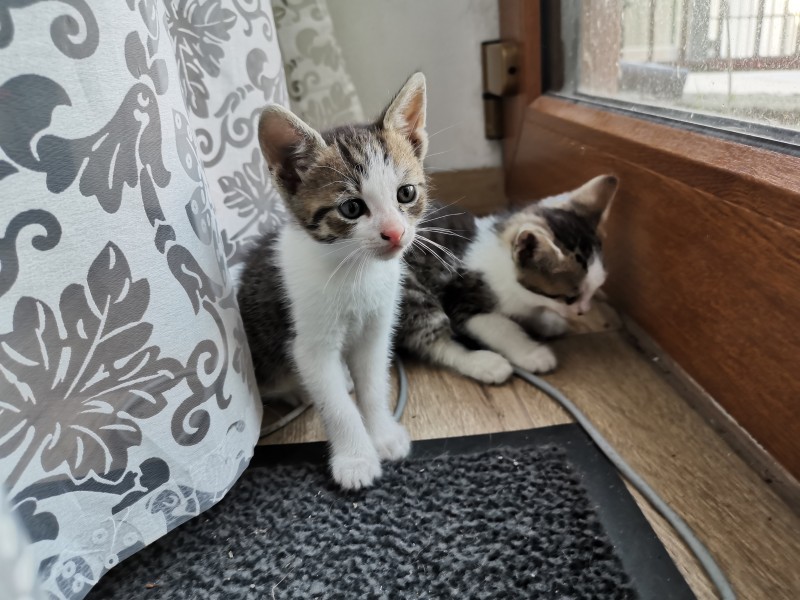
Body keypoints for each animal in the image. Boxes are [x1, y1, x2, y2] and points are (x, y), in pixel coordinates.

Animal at [237, 73, 429, 490]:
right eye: (352, 208)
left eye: (406, 193)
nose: (395, 233)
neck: (356, 272)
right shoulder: (311, 345)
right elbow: (337, 407)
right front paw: (356, 460)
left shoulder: (377, 328)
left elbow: (374, 385)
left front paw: (382, 435)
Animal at [397, 174, 618, 383]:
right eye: (570, 298)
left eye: (595, 289)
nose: (584, 310)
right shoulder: (462, 297)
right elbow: (503, 329)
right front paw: (531, 353)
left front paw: (547, 321)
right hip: (411, 291)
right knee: (430, 338)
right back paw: (483, 363)